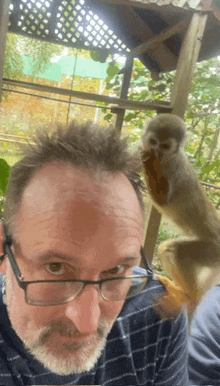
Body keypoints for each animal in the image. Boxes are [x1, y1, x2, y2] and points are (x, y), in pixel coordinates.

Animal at [141, 113, 220, 312]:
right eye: (153, 142)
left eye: (165, 146)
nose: (157, 152)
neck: (165, 161)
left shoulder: (176, 168)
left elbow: (163, 200)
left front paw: (150, 162)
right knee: (167, 249)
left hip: (213, 251)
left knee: (179, 254)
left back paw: (190, 297)